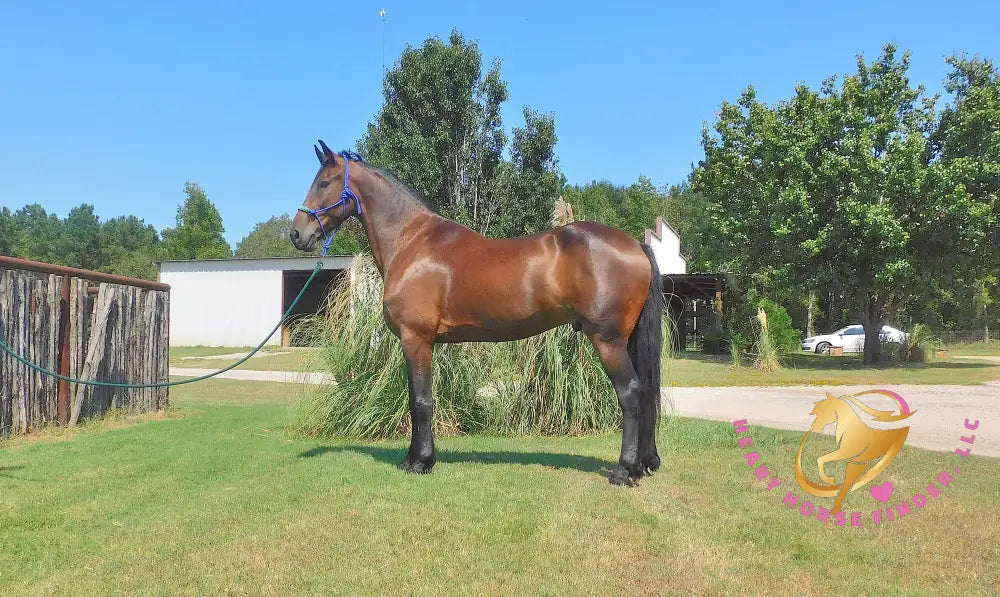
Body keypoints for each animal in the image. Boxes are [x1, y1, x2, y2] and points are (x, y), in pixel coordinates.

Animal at [290, 141, 664, 486]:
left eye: (325, 182)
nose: (297, 234)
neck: (412, 242)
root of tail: (635, 244)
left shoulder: (416, 339)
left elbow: (421, 401)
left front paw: (421, 462)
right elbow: (415, 399)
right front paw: (414, 458)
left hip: (607, 341)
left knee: (631, 394)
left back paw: (625, 471)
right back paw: (641, 465)